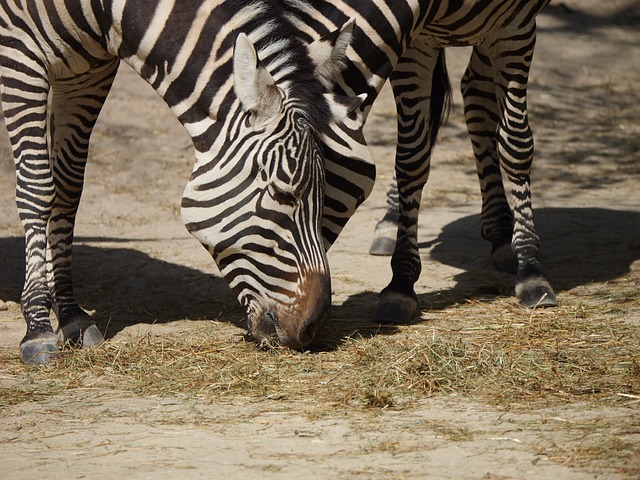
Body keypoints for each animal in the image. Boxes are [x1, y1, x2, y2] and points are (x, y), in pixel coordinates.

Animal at [0, 0, 376, 362]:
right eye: (283, 193)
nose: (314, 328)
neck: (102, 11)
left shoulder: (89, 74)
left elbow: (67, 188)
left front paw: (71, 316)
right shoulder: (19, 53)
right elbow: (39, 189)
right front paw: (38, 327)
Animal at [284, 0, 556, 324]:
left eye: (294, 188)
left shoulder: (516, 29)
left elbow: (516, 144)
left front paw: (530, 269)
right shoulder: (413, 44)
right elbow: (411, 157)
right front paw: (401, 282)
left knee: (476, 92)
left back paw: (503, 234)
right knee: (467, 94)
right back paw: (393, 222)